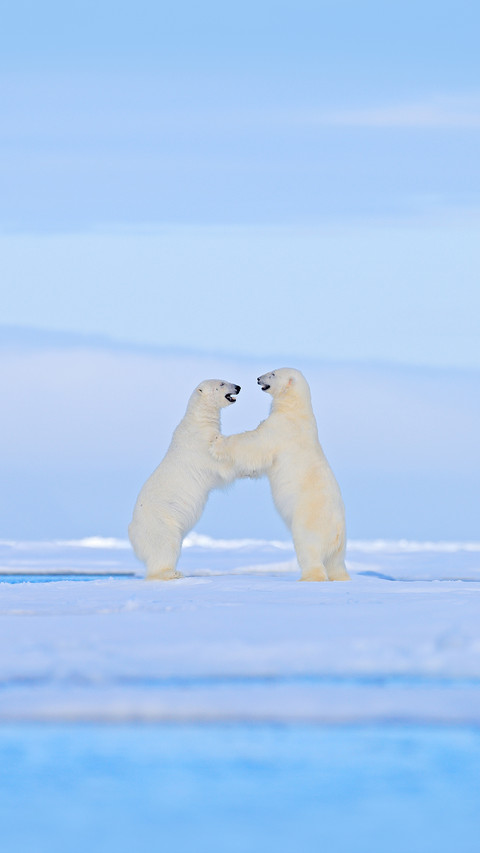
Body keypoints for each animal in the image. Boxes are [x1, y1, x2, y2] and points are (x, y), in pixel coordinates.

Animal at [129, 379, 242, 580]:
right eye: (222, 383)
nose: (238, 387)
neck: (198, 423)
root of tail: (132, 533)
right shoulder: (200, 447)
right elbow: (222, 467)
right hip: (160, 522)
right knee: (166, 544)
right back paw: (170, 572)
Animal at [210, 368, 350, 582]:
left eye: (273, 374)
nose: (258, 378)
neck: (296, 410)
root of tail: (337, 532)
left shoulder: (280, 429)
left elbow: (255, 442)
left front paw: (217, 442)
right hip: (340, 546)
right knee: (336, 563)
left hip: (309, 520)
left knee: (308, 547)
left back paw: (308, 577)